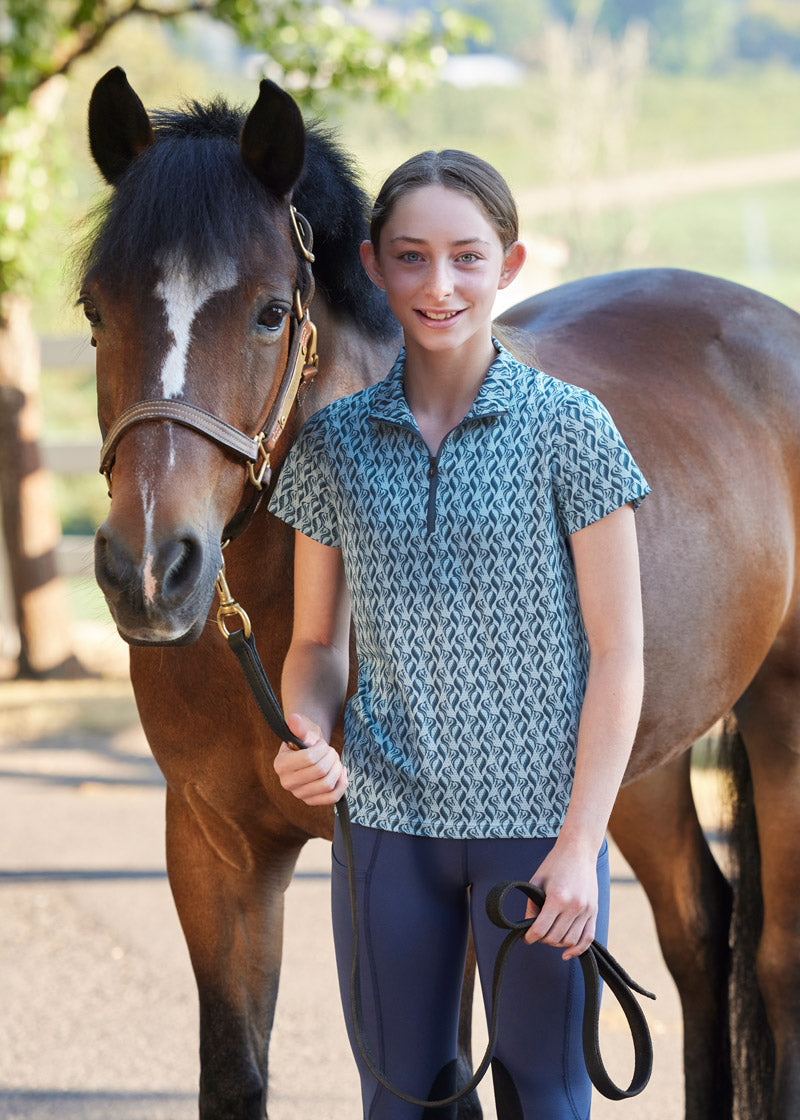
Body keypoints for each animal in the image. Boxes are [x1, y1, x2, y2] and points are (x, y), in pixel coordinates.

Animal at [79, 67, 797, 1120]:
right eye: (95, 308)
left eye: (269, 311)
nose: (147, 570)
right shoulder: (215, 857)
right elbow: (234, 1074)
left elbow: (447, 1080)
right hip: (635, 760)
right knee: (700, 929)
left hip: (782, 718)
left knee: (777, 963)